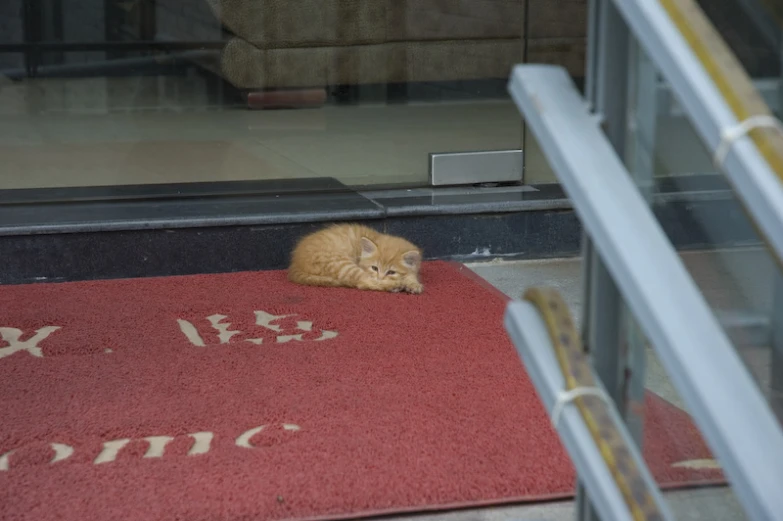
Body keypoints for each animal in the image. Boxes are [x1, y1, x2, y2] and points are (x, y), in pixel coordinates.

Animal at [288, 222, 422, 292]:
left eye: (391, 272)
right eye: (374, 268)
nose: (380, 278)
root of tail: (296, 264)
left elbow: (411, 274)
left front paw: (413, 284)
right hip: (340, 263)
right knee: (362, 283)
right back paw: (393, 286)